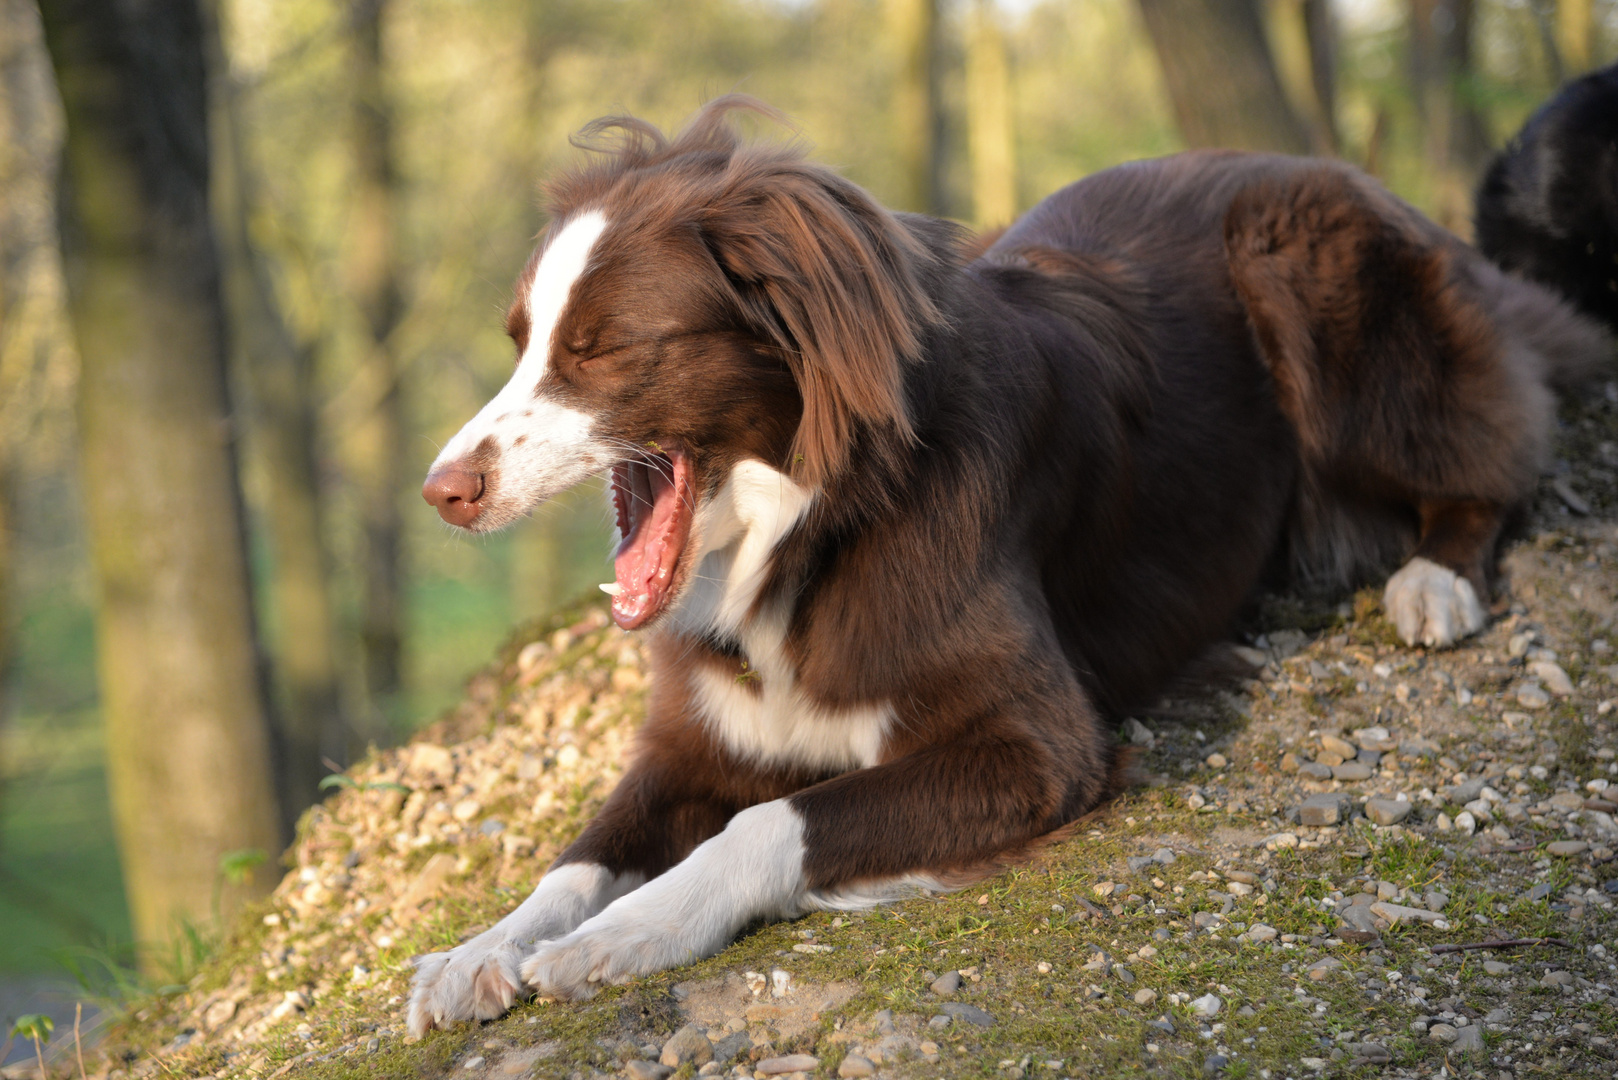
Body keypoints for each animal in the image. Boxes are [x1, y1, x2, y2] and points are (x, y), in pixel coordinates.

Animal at [404, 97, 1605, 1036]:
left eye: (600, 348)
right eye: (521, 342)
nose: (442, 490)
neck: (819, 529)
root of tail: (1338, 171)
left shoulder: (1038, 745)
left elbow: (774, 820)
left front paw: (627, 932)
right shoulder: (694, 741)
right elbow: (579, 854)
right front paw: (482, 948)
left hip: (1317, 290)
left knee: (1490, 457)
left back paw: (1433, 581)